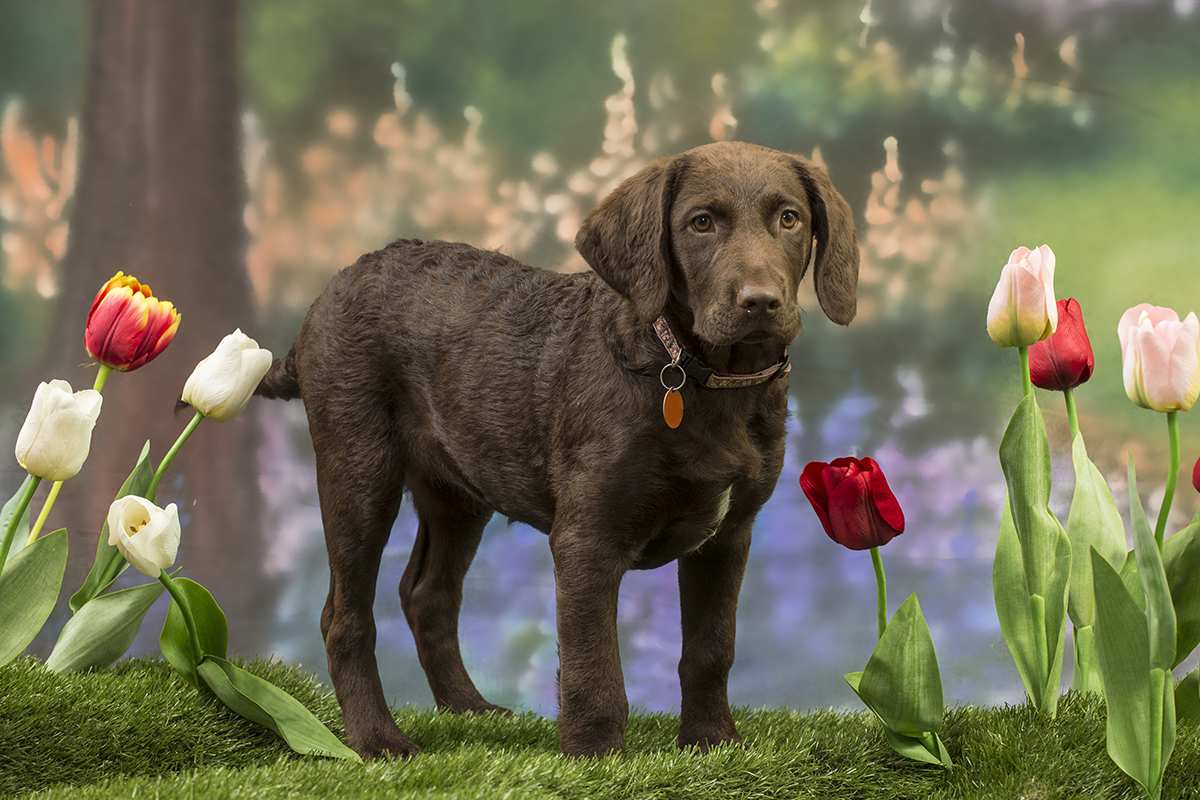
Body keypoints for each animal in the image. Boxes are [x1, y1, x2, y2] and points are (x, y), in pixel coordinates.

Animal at [255, 140, 854, 762]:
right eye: (701, 223)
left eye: (790, 219)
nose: (760, 302)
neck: (698, 374)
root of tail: (326, 295)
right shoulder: (587, 538)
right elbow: (595, 667)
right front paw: (595, 757)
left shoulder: (729, 534)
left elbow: (711, 649)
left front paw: (712, 741)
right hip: (358, 466)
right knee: (344, 616)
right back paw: (378, 739)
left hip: (457, 491)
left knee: (426, 595)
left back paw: (470, 709)